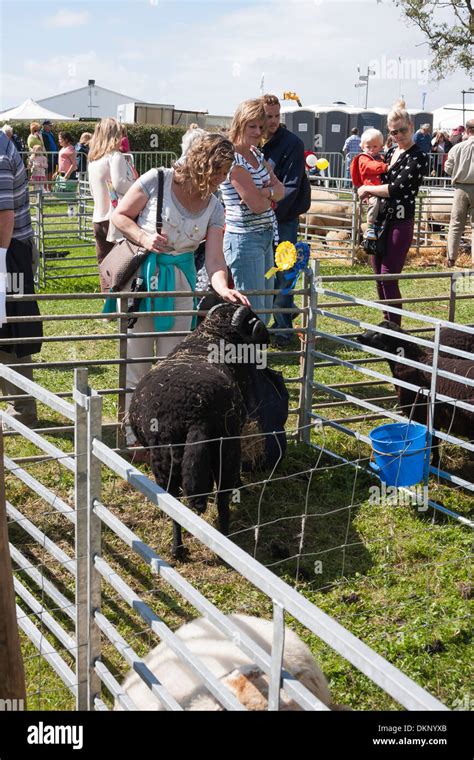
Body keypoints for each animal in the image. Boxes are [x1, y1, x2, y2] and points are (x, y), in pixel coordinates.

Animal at [129, 302, 270, 560]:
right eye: (253, 320)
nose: (268, 336)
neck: (213, 336)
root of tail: (195, 416)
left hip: (165, 458)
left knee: (174, 502)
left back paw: (177, 549)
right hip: (226, 450)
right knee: (222, 497)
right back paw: (222, 542)